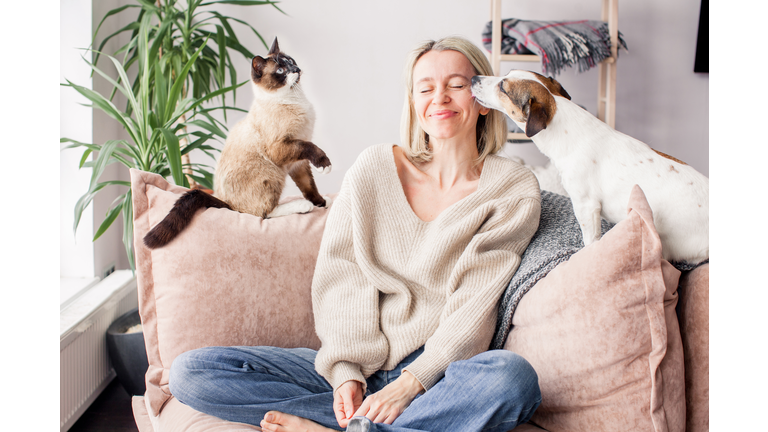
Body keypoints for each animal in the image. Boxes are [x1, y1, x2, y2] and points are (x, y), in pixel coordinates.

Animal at [146, 38, 332, 248]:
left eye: (291, 61)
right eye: (280, 70)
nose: (297, 69)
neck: (295, 99)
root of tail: (227, 204)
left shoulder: (297, 163)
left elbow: (309, 186)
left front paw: (322, 203)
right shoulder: (284, 148)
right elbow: (311, 149)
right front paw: (325, 166)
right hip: (272, 172)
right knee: (261, 214)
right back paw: (302, 206)